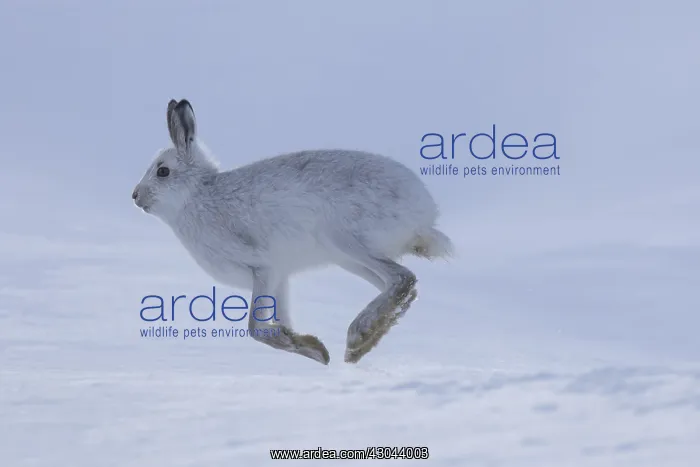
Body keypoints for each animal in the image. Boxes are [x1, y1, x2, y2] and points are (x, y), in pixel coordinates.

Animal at [132, 99, 454, 365]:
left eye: (162, 171)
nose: (135, 196)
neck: (197, 194)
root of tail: (423, 215)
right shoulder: (279, 277)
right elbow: (278, 320)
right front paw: (312, 348)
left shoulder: (263, 267)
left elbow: (254, 328)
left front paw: (307, 347)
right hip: (347, 259)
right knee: (400, 285)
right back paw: (365, 341)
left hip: (343, 239)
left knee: (402, 278)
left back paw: (358, 334)